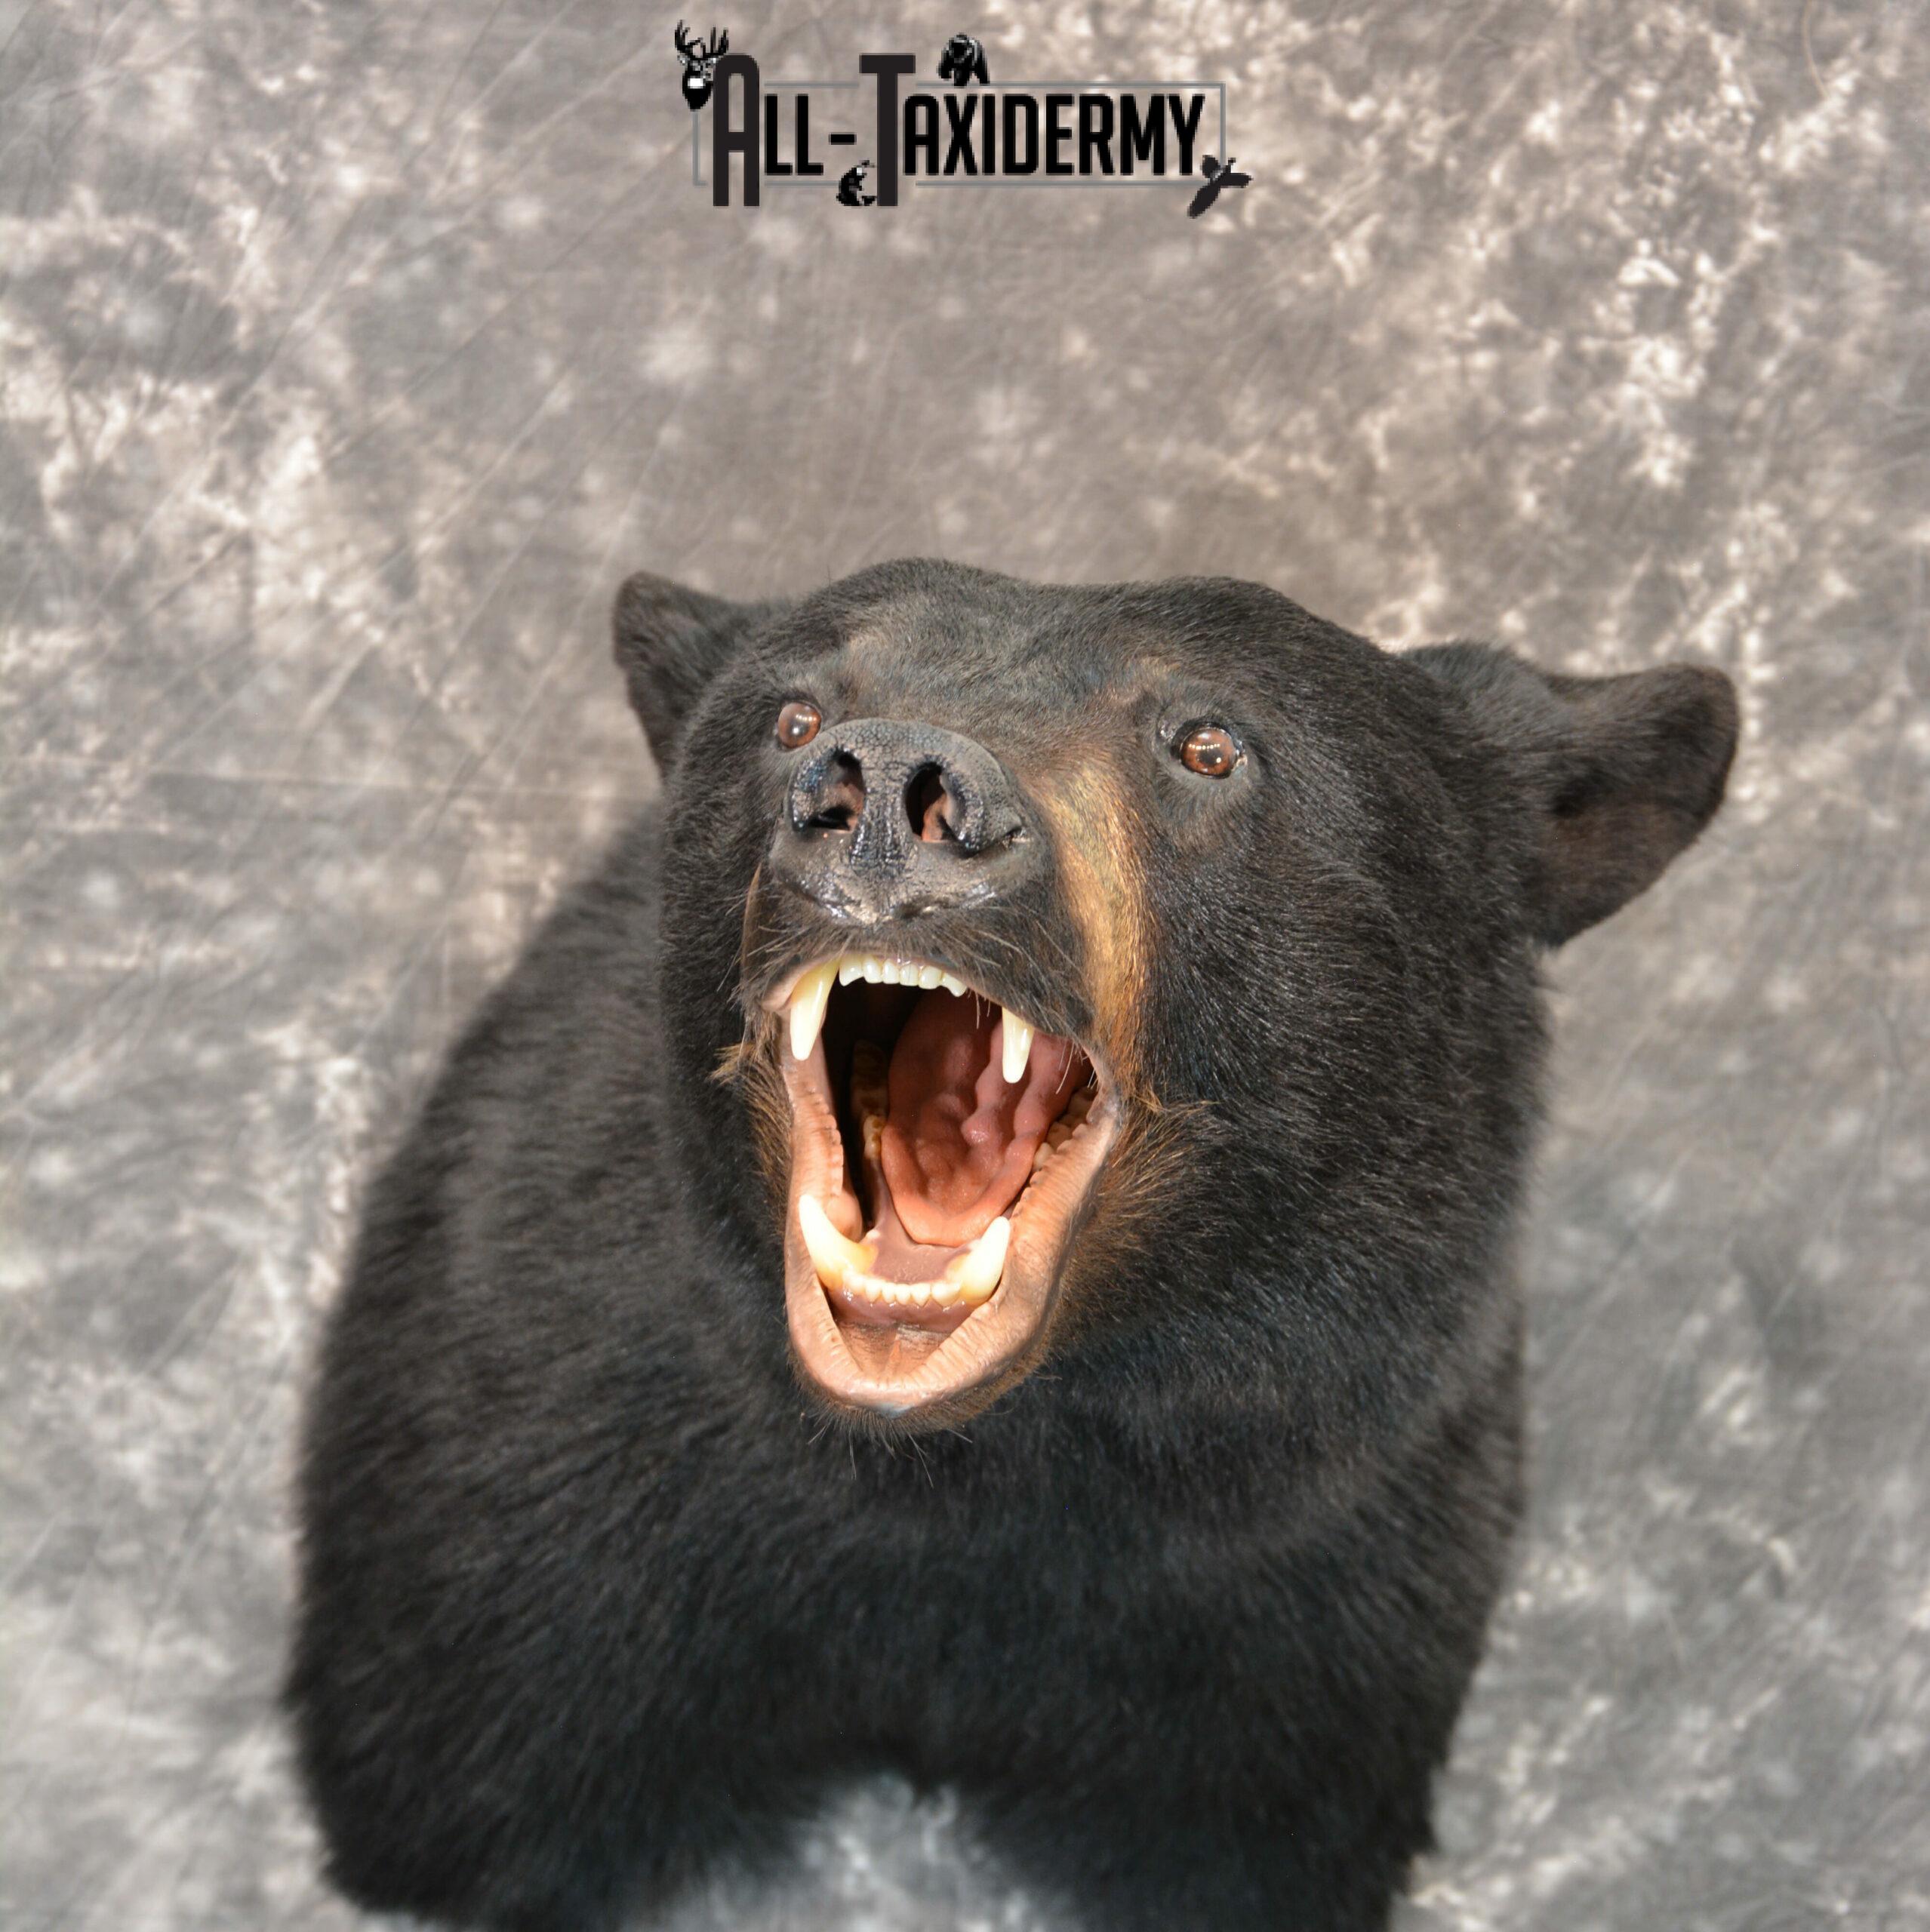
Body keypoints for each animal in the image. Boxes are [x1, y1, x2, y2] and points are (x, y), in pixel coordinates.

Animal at [287, 559, 1738, 1932]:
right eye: (791, 713)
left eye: (1208, 744)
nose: (885, 792)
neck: (980, 1473)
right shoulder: (531, 1481)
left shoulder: (1316, 1606)